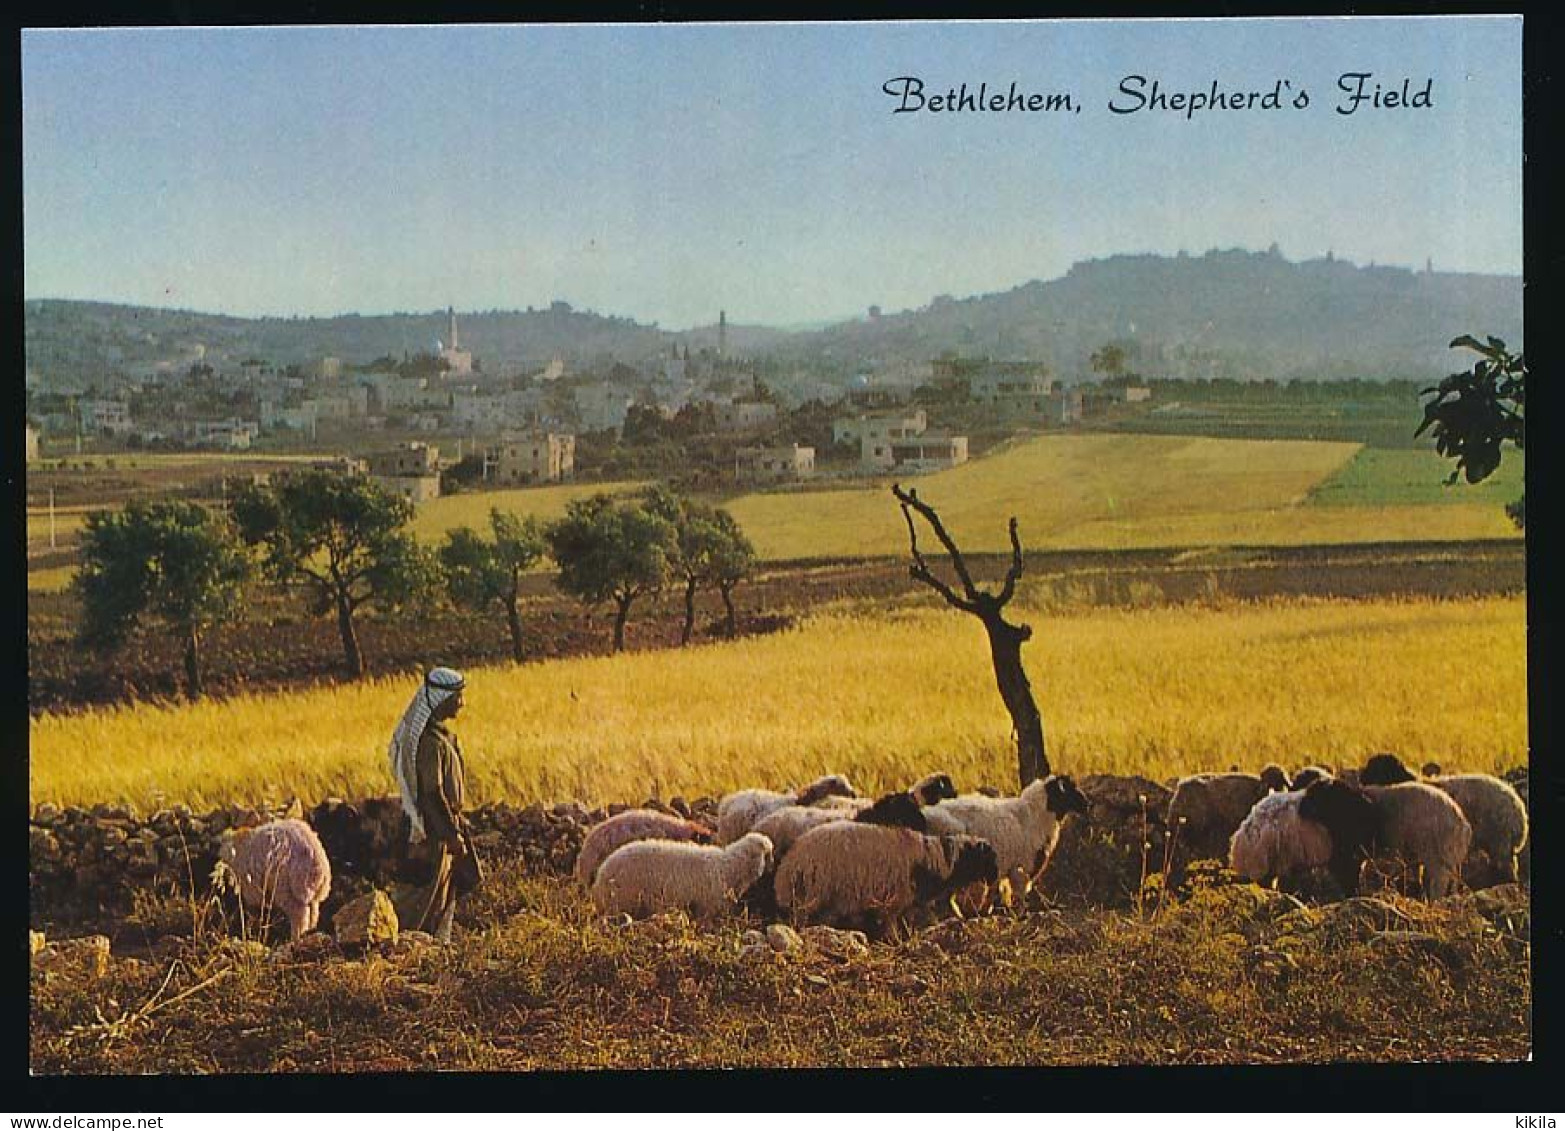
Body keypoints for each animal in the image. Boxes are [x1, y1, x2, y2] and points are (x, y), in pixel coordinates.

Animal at [588, 832, 773, 919]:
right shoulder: (708, 906)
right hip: (621, 902)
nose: (772, 869)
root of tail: (600, 876)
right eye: (768, 854)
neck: (729, 866)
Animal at [773, 825, 1001, 938]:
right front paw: (894, 941)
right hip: (813, 895)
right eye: (987, 857)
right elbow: (891, 926)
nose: (994, 877)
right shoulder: (894, 900)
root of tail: (788, 866)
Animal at [1302, 779, 1471, 901]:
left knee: (1439, 883)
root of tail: (1461, 824)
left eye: (1317, 796)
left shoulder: (1350, 854)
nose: (1303, 809)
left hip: (1436, 857)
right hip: (1446, 859)